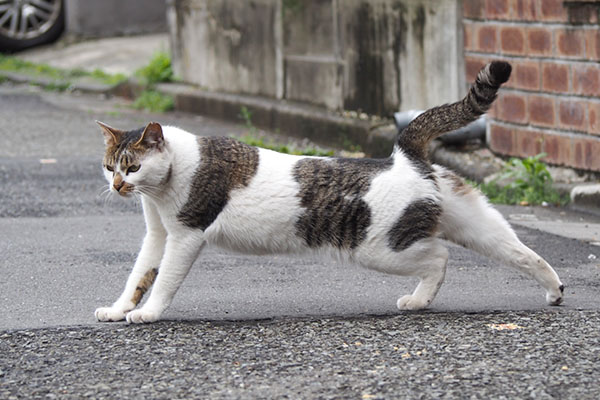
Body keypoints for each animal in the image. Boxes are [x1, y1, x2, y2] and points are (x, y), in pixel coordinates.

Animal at [94, 62, 564, 324]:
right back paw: (554, 291)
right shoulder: (157, 235)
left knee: (440, 258)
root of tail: (404, 155)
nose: (118, 186)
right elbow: (138, 276)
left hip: (383, 248)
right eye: (109, 166)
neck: (164, 185)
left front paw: (148, 314)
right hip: (474, 222)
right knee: (524, 253)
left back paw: (418, 300)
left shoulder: (185, 236)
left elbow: (163, 281)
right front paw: (118, 310)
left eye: (133, 167)